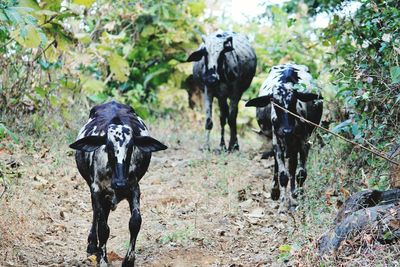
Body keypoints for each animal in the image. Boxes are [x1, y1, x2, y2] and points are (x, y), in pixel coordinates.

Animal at [69, 101, 166, 266]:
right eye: (108, 146)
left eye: (131, 146)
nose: (120, 184)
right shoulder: (97, 190)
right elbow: (103, 228)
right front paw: (102, 260)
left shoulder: (134, 188)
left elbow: (135, 222)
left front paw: (128, 260)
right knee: (96, 214)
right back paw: (92, 245)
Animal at [245, 63, 324, 211]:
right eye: (274, 101)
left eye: (294, 100)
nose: (287, 130)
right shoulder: (278, 141)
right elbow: (283, 175)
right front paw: (282, 204)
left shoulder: (304, 142)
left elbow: (300, 173)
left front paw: (297, 198)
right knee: (279, 167)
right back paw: (275, 191)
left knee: (293, 167)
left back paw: (293, 194)